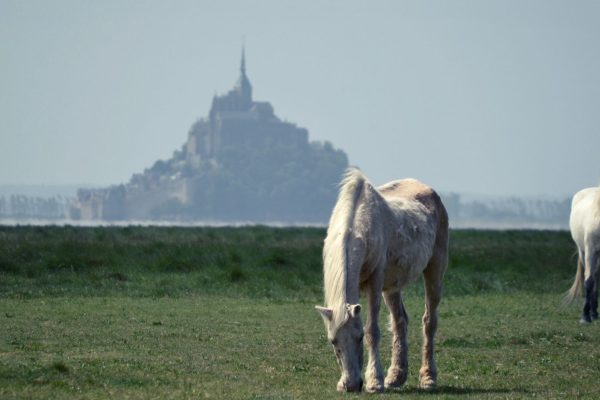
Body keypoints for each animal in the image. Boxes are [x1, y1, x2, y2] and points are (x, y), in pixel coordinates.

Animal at [316, 167, 448, 392]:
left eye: (359, 337)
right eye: (333, 341)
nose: (351, 385)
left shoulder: (375, 282)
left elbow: (373, 331)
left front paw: (375, 382)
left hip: (435, 270)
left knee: (429, 321)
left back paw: (428, 378)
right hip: (392, 287)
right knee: (400, 322)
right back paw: (396, 377)